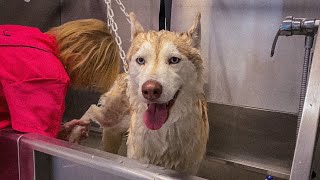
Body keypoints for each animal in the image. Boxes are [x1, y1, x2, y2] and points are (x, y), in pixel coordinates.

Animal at [81, 12, 209, 174]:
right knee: (91, 109)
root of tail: (123, 73)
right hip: (110, 119)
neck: (164, 131)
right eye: (141, 60)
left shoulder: (190, 168)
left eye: (174, 60)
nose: (150, 90)